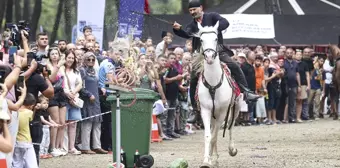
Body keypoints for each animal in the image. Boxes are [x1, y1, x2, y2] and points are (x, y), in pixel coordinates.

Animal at [194, 21, 242, 168]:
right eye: (201, 40)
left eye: (216, 39)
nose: (209, 57)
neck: (213, 84)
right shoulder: (206, 110)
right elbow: (209, 136)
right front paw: (206, 160)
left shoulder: (222, 112)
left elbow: (215, 135)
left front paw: (211, 159)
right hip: (213, 115)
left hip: (236, 107)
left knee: (230, 126)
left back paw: (231, 150)